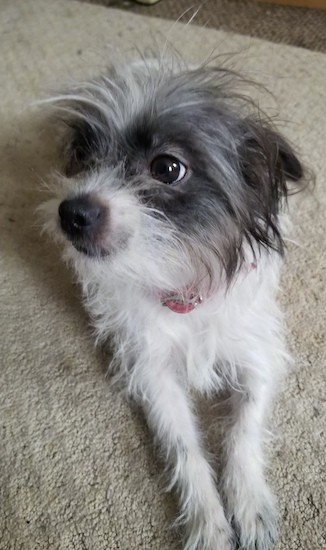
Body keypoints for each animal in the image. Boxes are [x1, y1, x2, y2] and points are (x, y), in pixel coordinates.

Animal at [39, 57, 304, 550]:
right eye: (84, 153)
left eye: (167, 168)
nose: (71, 213)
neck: (182, 286)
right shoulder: (152, 371)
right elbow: (185, 447)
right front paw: (209, 522)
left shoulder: (256, 355)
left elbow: (243, 429)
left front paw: (249, 506)